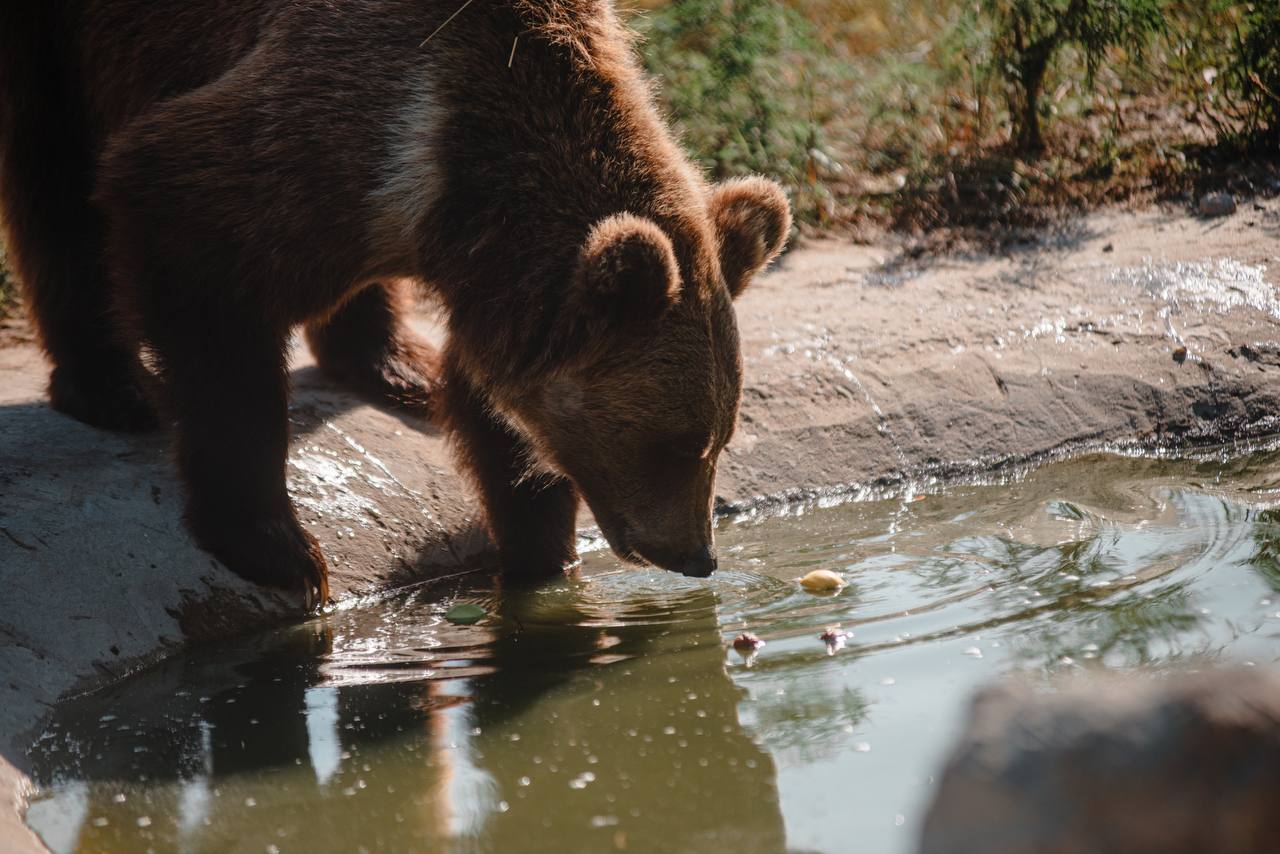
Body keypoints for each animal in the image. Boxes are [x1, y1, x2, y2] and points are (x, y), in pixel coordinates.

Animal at [0, 0, 788, 606]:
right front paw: (281, 549)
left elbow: (493, 404)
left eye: (721, 437)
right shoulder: (335, 117)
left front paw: (541, 546)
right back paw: (111, 387)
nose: (696, 556)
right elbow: (198, 259)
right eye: (680, 442)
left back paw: (393, 368)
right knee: (51, 167)